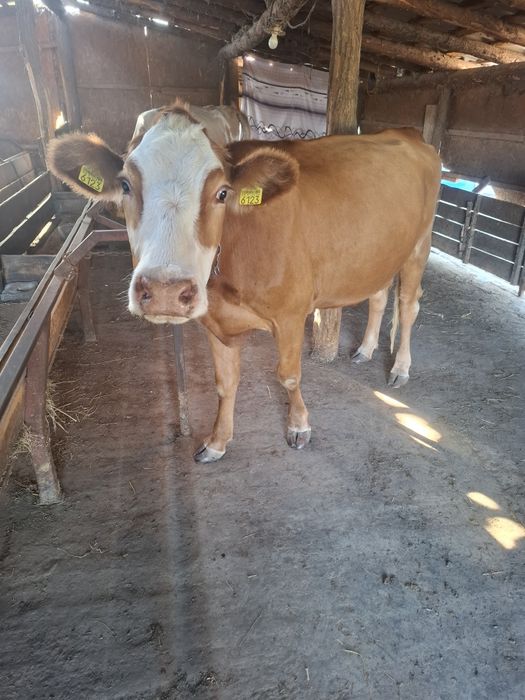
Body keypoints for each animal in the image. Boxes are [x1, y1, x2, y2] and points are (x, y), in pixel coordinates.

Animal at [47, 101, 441, 463]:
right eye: (126, 185)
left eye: (222, 192)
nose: (164, 292)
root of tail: (407, 132)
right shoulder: (214, 320)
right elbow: (225, 384)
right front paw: (217, 442)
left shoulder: (291, 314)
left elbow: (289, 375)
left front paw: (299, 426)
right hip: (381, 252)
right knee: (378, 296)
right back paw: (365, 349)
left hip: (419, 245)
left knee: (408, 305)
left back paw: (400, 368)